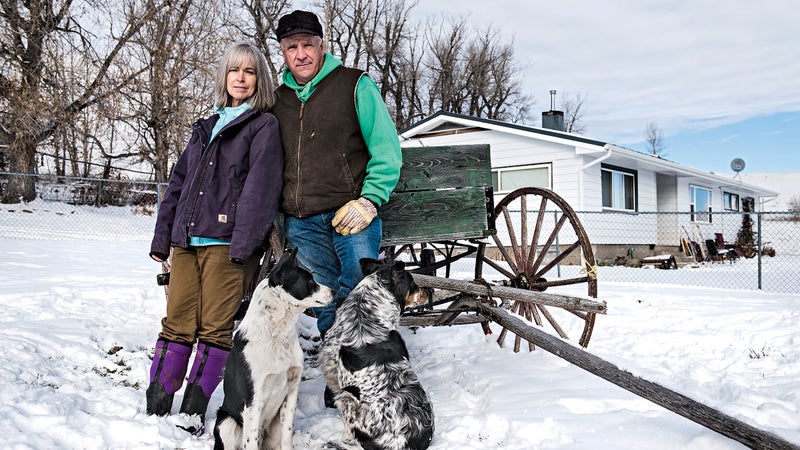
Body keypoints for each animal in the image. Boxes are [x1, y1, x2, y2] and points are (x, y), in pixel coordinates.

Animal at [212, 250, 332, 450]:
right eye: (310, 281)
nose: (333, 291)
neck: (276, 335)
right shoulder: (253, 400)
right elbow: (251, 441)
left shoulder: (291, 391)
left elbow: (287, 436)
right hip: (226, 423)